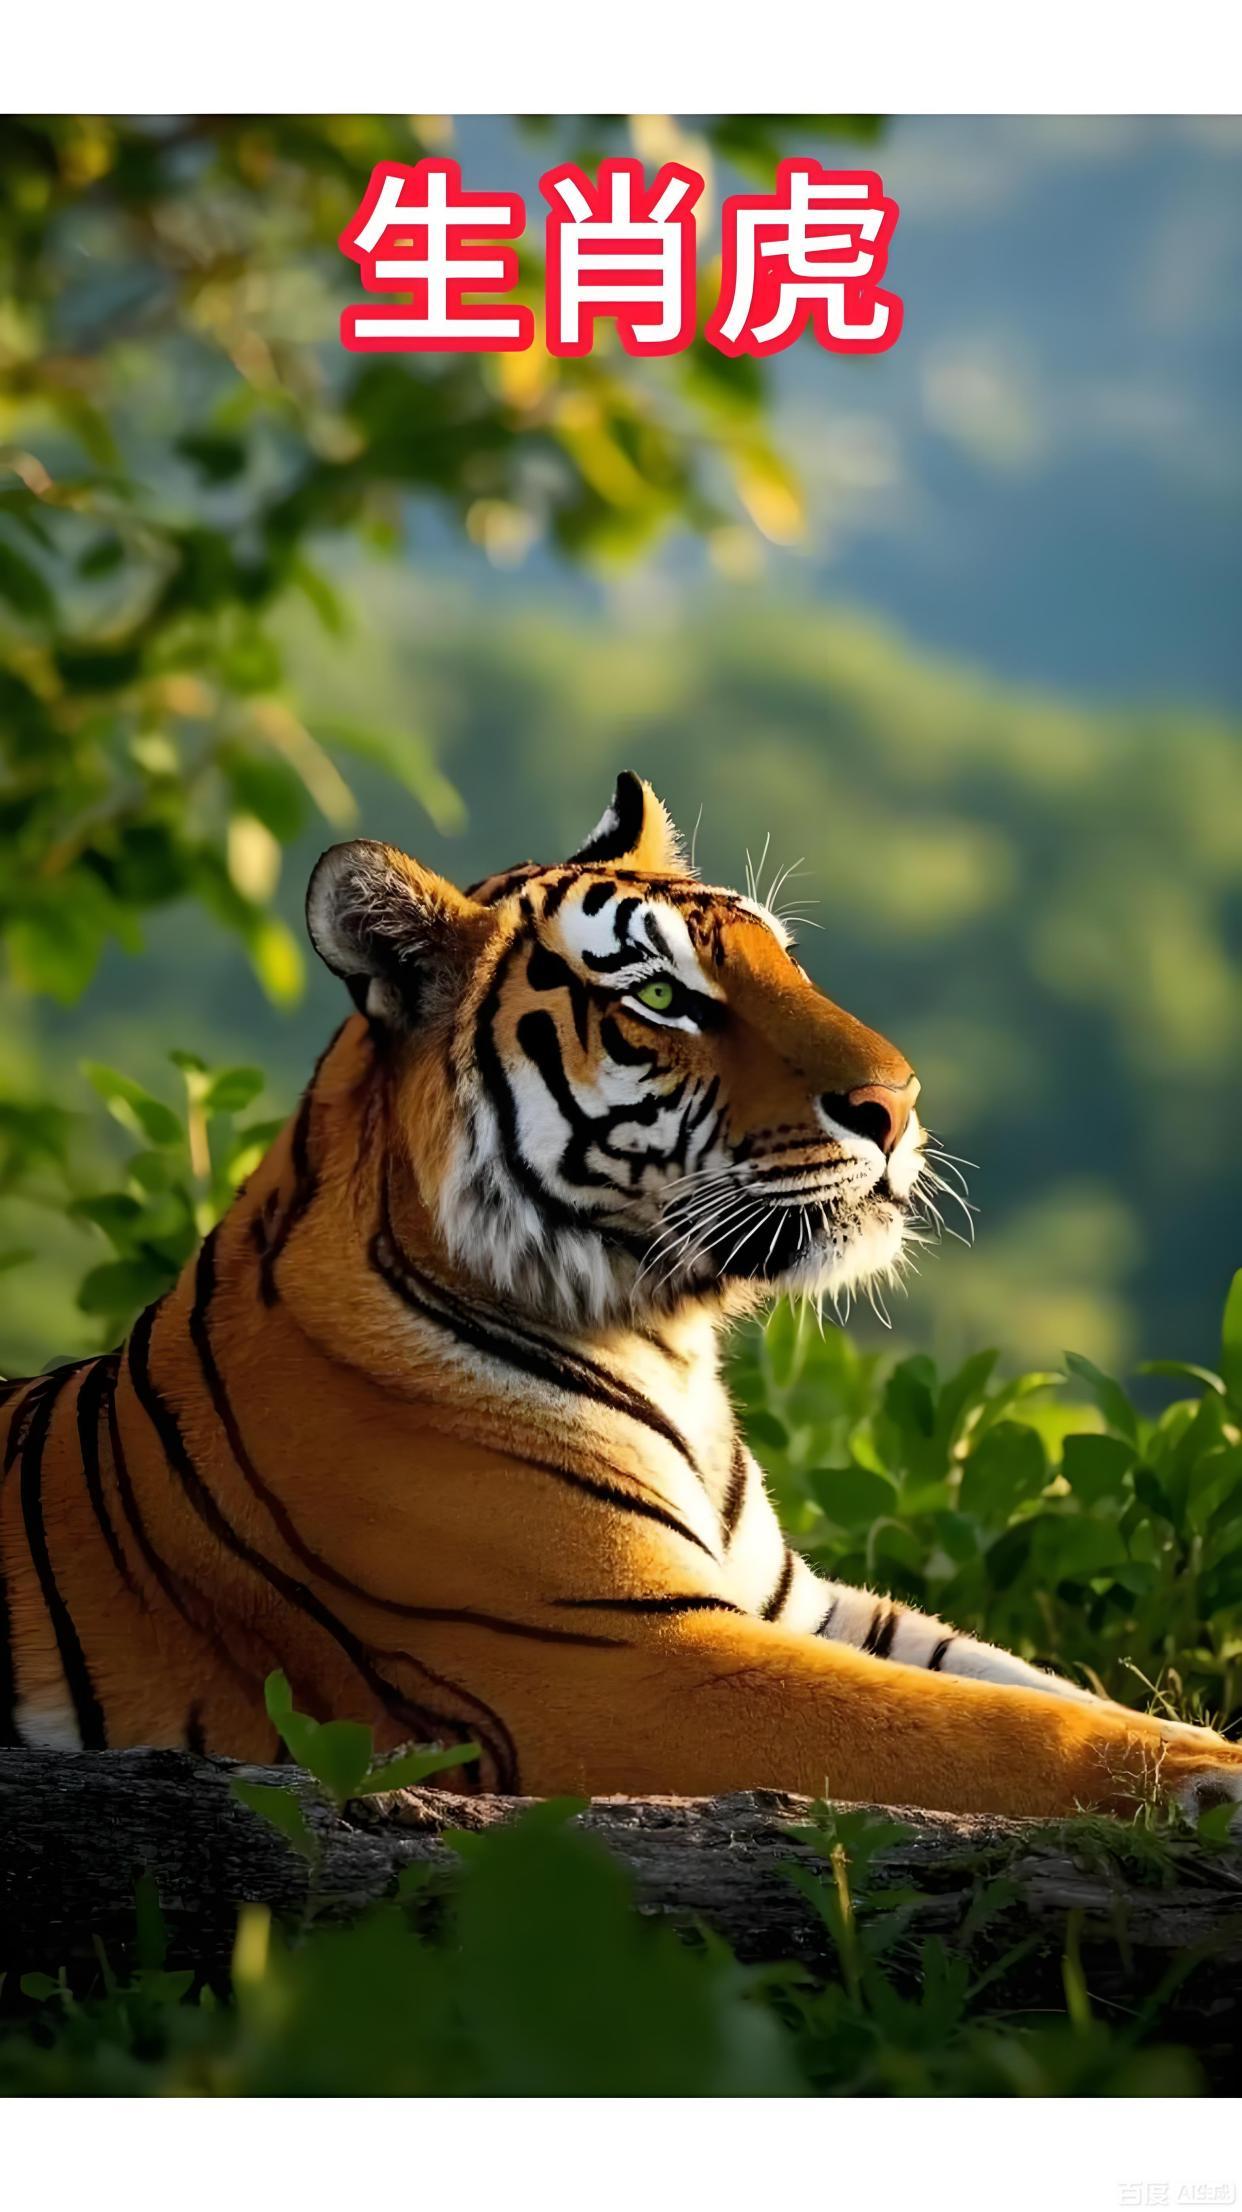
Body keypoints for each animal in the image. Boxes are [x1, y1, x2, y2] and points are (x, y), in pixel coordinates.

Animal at [2, 770, 1240, 1827]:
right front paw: (1208, 1781)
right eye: (659, 995)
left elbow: (1039, 1683)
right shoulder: (633, 1662)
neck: (664, 1338)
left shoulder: (796, 1604)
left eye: (788, 965)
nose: (899, 1101)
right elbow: (994, 1726)